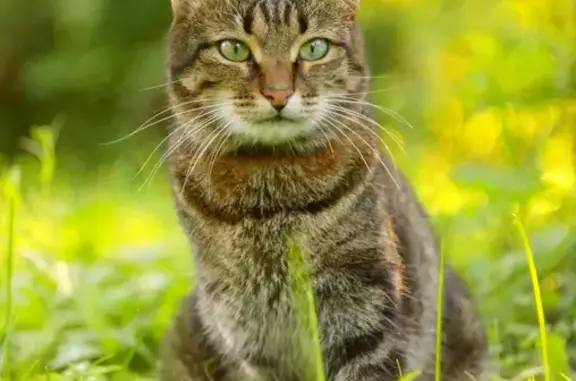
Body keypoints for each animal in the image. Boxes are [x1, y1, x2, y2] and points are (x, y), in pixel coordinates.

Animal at [160, 0, 488, 380]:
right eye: (234, 49)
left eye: (314, 48)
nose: (278, 94)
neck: (271, 192)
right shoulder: (248, 327)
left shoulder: (364, 310)